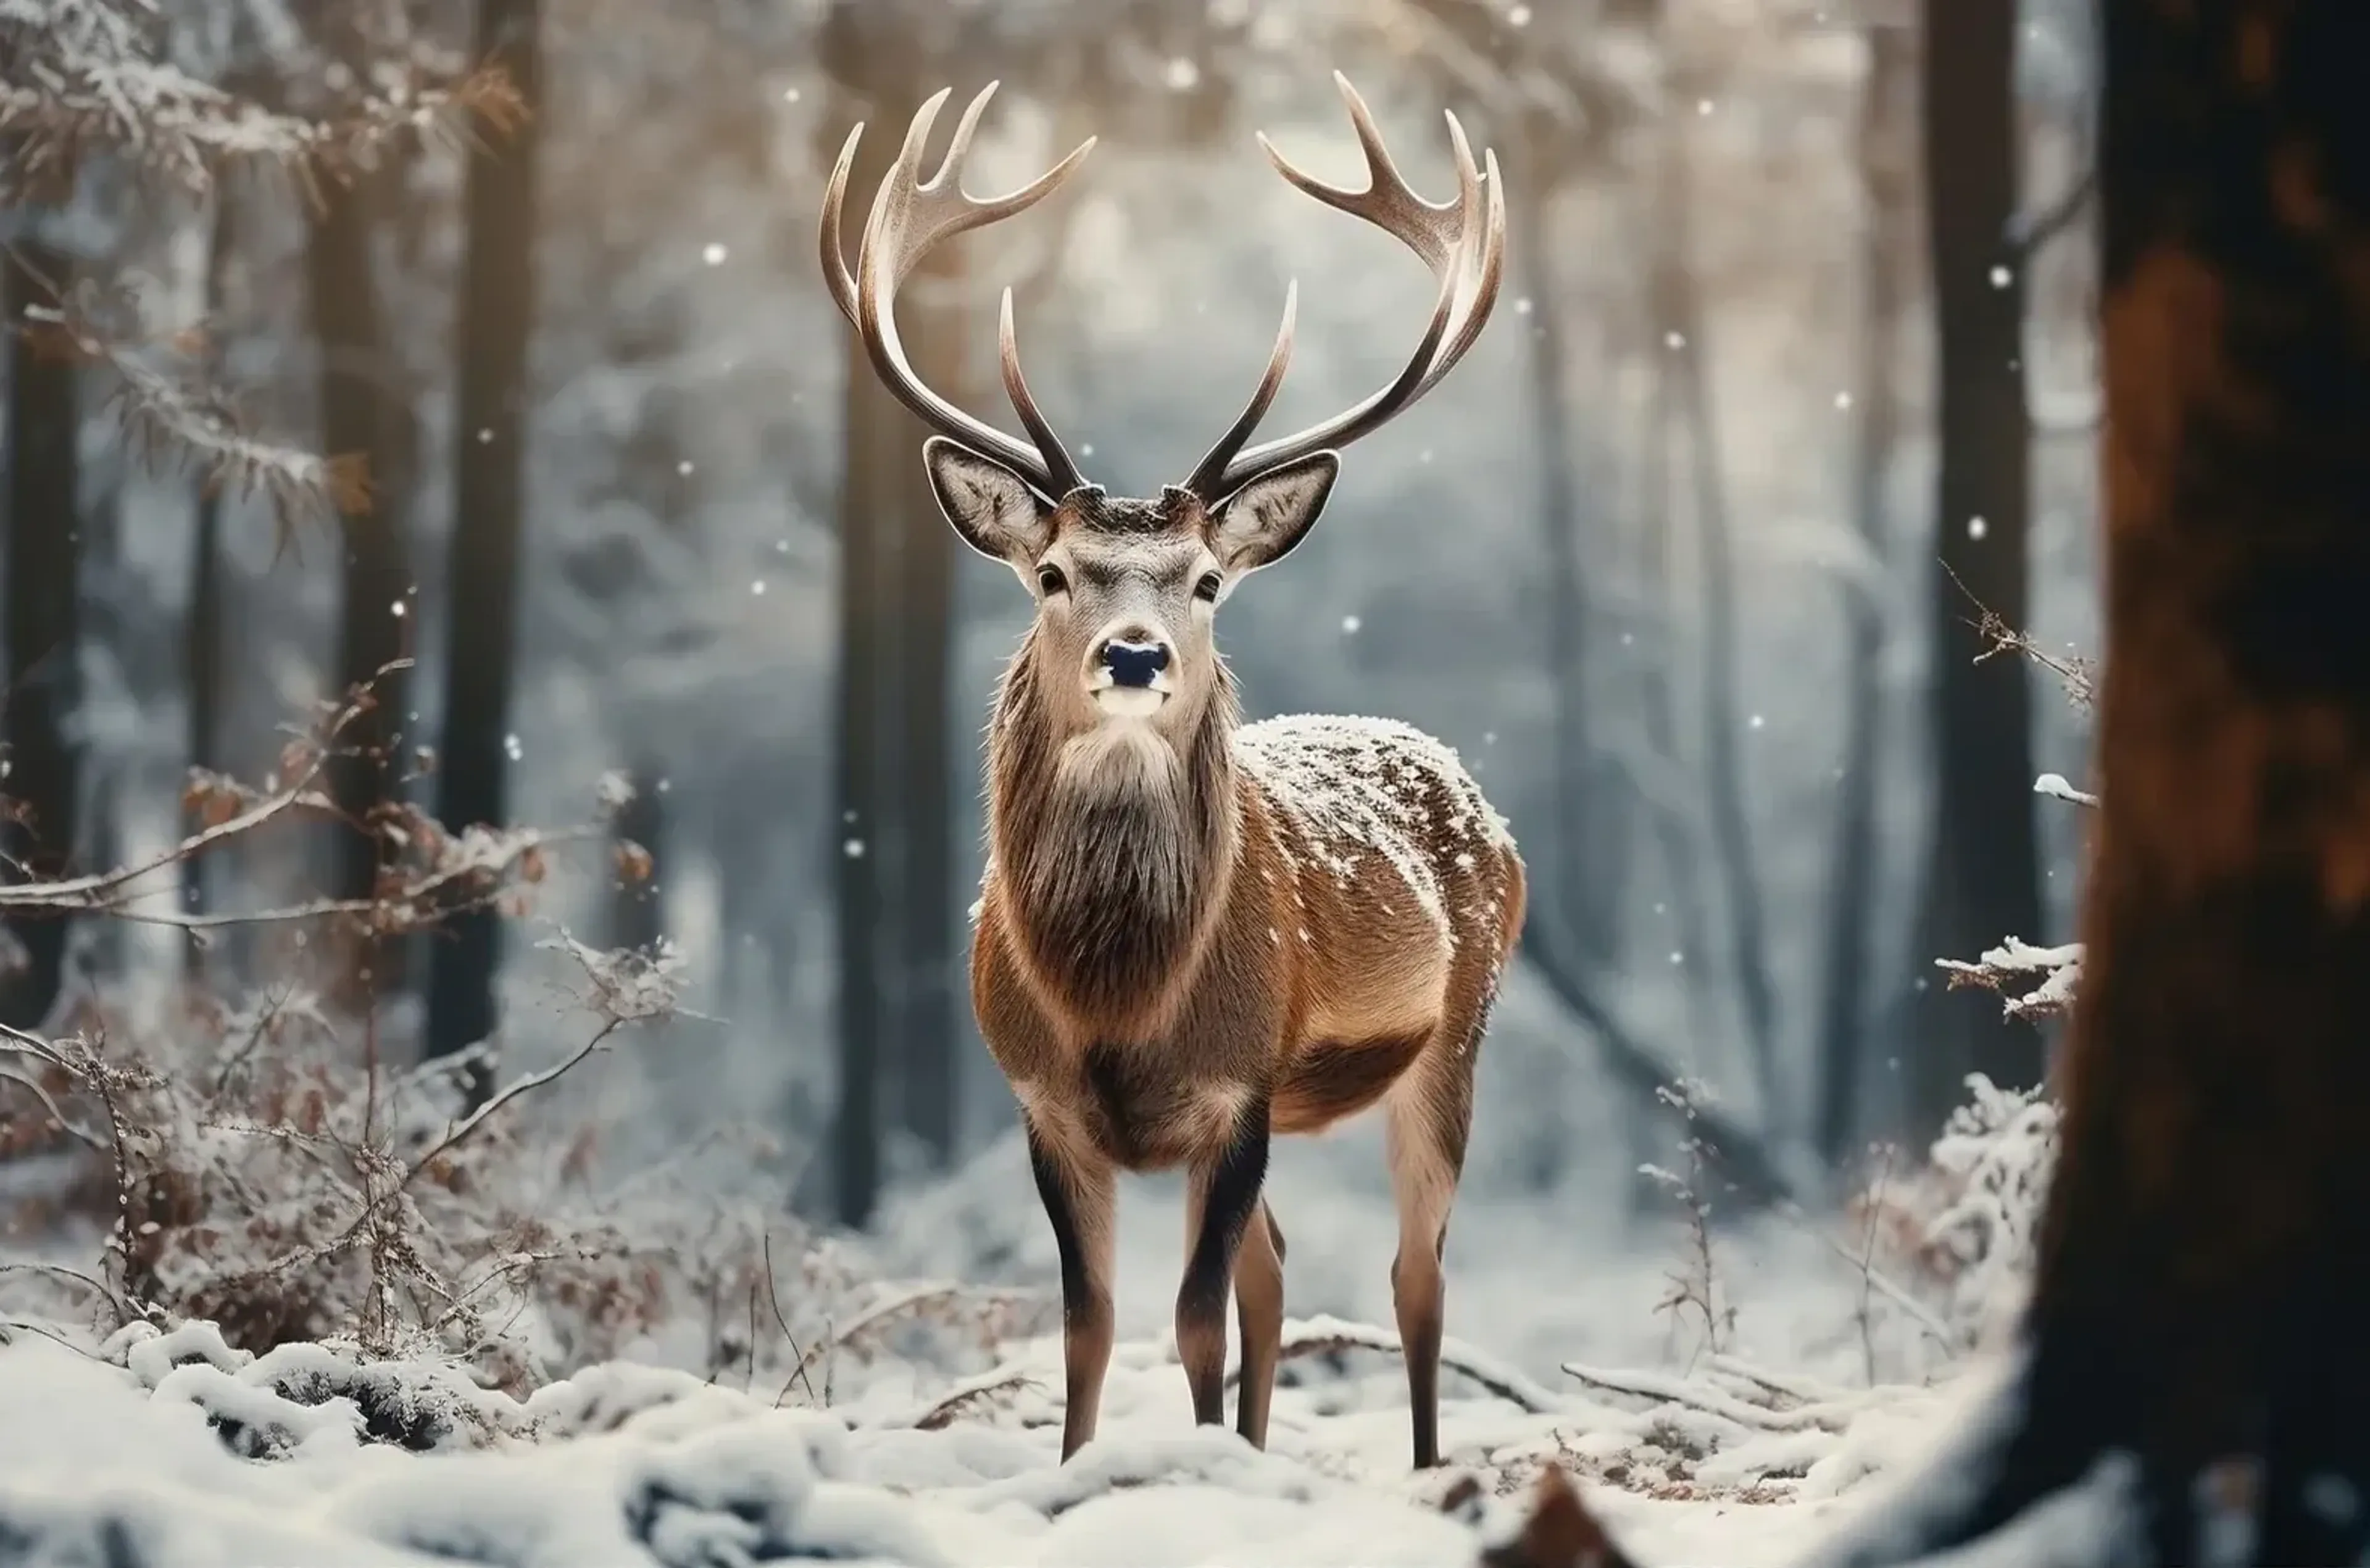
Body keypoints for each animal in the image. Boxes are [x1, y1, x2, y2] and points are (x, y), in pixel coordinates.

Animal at [820, 73, 1522, 1472]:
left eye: (1203, 580)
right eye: (1050, 573)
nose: (1135, 654)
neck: (1120, 1001)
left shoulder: (1239, 1085)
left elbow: (1193, 1321)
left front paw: (1194, 1473)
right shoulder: (1040, 1103)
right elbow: (1089, 1324)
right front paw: (1100, 1468)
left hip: (1456, 1036)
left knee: (1415, 1274)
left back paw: (1424, 1467)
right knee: (1280, 1271)